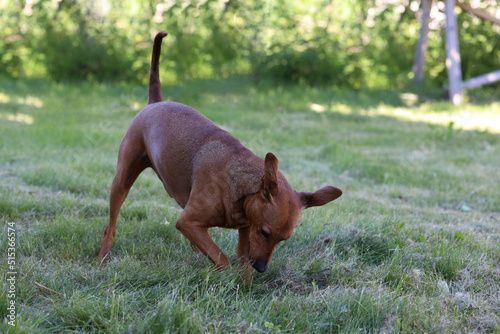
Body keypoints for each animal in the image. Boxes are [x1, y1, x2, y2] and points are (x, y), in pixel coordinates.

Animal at [96, 32, 342, 274]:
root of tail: (155, 103)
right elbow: (221, 258)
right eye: (265, 233)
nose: (262, 268)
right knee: (111, 225)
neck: (239, 188)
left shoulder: (244, 230)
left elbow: (240, 263)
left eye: (283, 239)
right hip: (122, 181)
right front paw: (225, 275)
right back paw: (102, 259)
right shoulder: (188, 222)